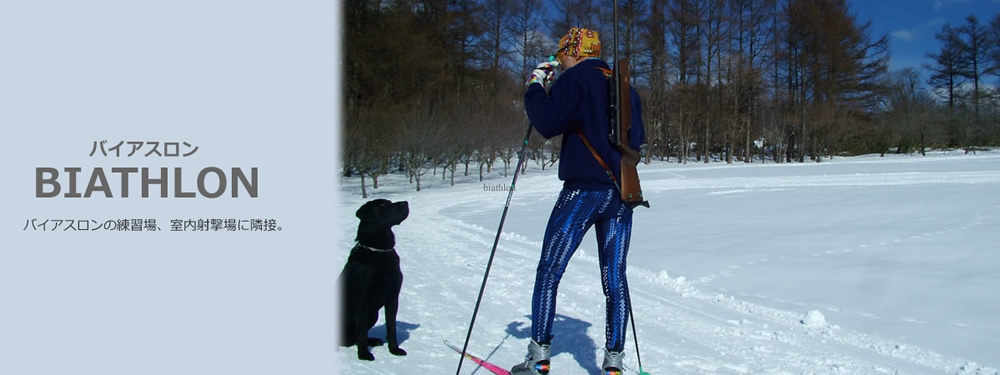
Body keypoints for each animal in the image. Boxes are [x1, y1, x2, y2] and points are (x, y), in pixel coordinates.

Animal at [340, 200, 410, 362]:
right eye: (383, 205)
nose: (406, 202)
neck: (379, 251)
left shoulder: (393, 298)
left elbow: (391, 327)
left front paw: (394, 349)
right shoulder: (362, 301)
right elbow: (361, 331)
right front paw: (364, 354)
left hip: (373, 314)